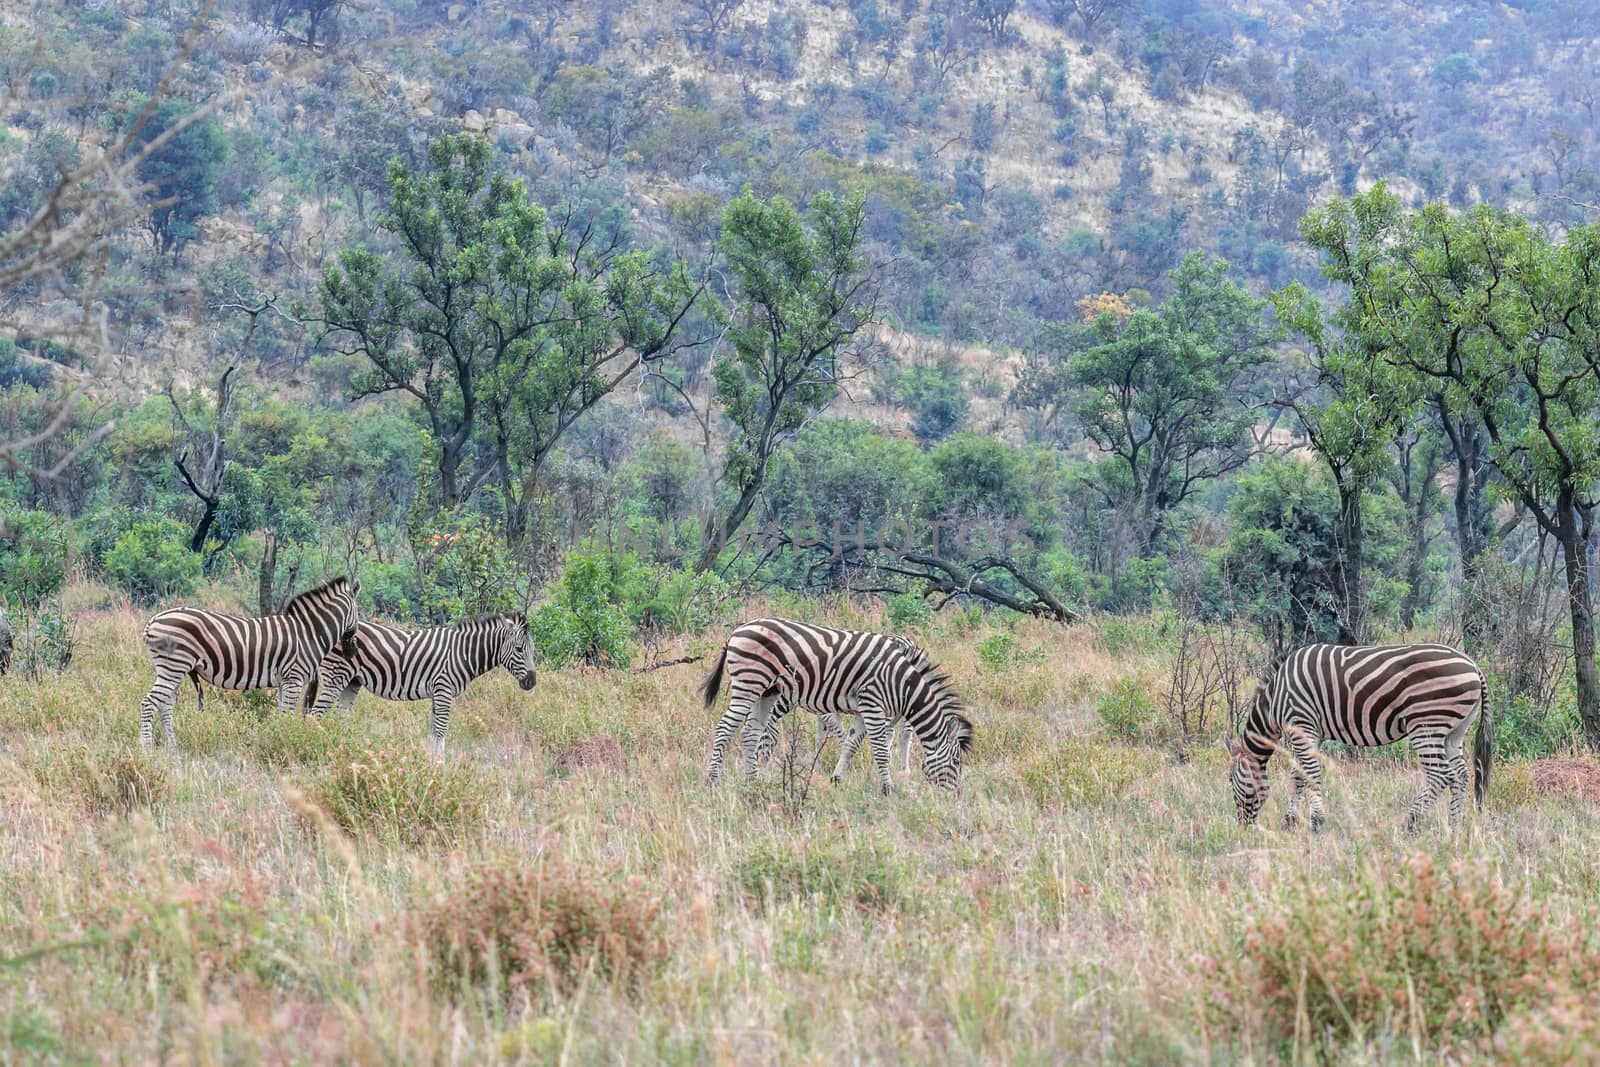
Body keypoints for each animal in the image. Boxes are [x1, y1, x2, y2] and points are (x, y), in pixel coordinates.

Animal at [140, 575, 360, 751]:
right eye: (359, 611)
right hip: (174, 666)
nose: (353, 651)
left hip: (174, 668)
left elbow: (282, 714)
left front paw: (280, 738)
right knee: (149, 702)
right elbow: (288, 715)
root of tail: (153, 620)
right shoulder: (294, 679)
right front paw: (287, 741)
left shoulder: (285, 681)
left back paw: (172, 748)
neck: (309, 633)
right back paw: (147, 749)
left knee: (165, 705)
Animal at [302, 614, 540, 755]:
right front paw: (441, 767)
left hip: (352, 681)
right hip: (336, 676)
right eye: (519, 649)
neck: (462, 653)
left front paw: (430, 764)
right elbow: (441, 731)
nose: (532, 682)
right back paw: (315, 746)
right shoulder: (444, 690)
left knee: (341, 718)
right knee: (315, 716)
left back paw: (346, 750)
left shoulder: (438, 693)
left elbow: (433, 732)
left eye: (533, 649)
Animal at [704, 617, 972, 793]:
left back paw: (753, 781)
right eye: (956, 762)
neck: (901, 680)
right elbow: (878, 750)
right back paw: (713, 780)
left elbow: (851, 743)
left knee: (750, 732)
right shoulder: (872, 704)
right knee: (725, 728)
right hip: (750, 683)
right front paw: (887, 788)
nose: (955, 795)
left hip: (767, 690)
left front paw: (836, 778)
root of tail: (739, 629)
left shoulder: (864, 708)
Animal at [1228, 643, 1491, 831]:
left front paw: (1316, 822)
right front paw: (1290, 821)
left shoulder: (1301, 724)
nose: (1242, 827)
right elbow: (1298, 775)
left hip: (1426, 724)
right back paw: (1454, 825)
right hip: (1454, 730)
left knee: (1440, 775)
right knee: (1460, 775)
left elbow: (1309, 773)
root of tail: (1473, 665)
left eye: (1230, 781)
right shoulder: (1312, 733)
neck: (1275, 699)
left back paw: (1410, 822)